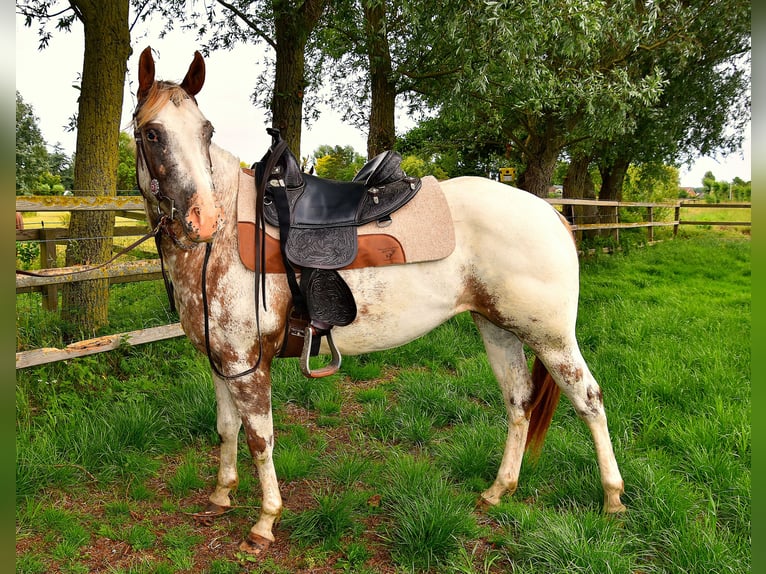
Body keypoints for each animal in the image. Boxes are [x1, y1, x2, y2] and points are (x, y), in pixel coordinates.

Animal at [132, 46, 625, 555]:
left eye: (206, 132)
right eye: (152, 132)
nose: (202, 220)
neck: (227, 238)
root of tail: (550, 211)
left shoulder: (248, 366)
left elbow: (260, 439)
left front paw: (264, 522)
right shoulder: (222, 361)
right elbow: (227, 428)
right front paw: (221, 495)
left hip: (551, 338)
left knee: (589, 400)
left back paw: (612, 499)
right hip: (498, 329)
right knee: (518, 400)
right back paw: (497, 490)